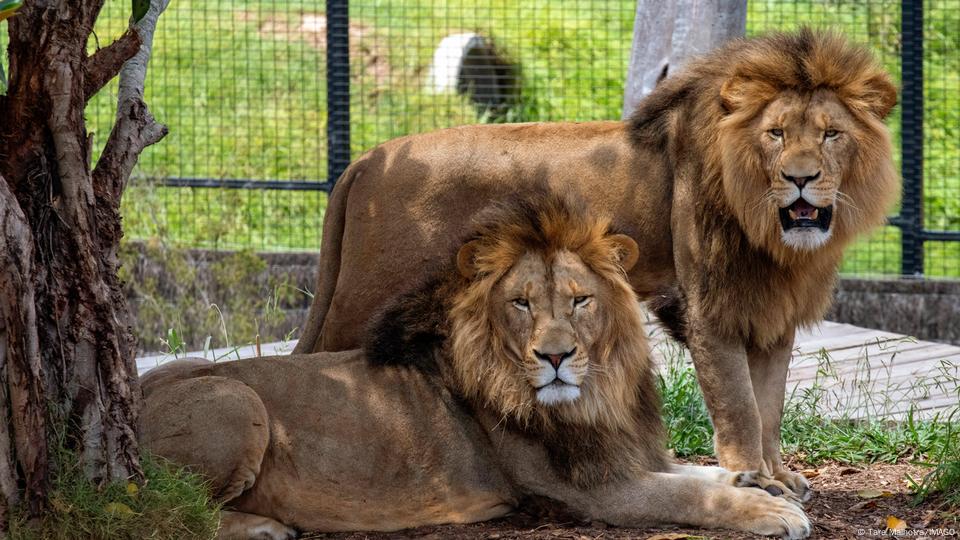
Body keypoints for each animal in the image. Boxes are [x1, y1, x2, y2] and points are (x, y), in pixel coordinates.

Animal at [141, 198, 808, 540]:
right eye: (521, 304)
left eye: (579, 301)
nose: (555, 356)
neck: (596, 396)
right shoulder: (591, 491)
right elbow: (692, 496)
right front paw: (770, 511)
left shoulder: (623, 454)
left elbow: (698, 473)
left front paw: (760, 481)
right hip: (234, 400)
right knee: (168, 509)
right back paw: (263, 528)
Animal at [294, 27, 900, 500]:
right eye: (775, 134)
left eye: (831, 134)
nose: (800, 177)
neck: (770, 233)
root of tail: (364, 161)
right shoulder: (708, 309)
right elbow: (740, 406)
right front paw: (757, 479)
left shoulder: (772, 313)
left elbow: (769, 404)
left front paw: (779, 475)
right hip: (362, 299)